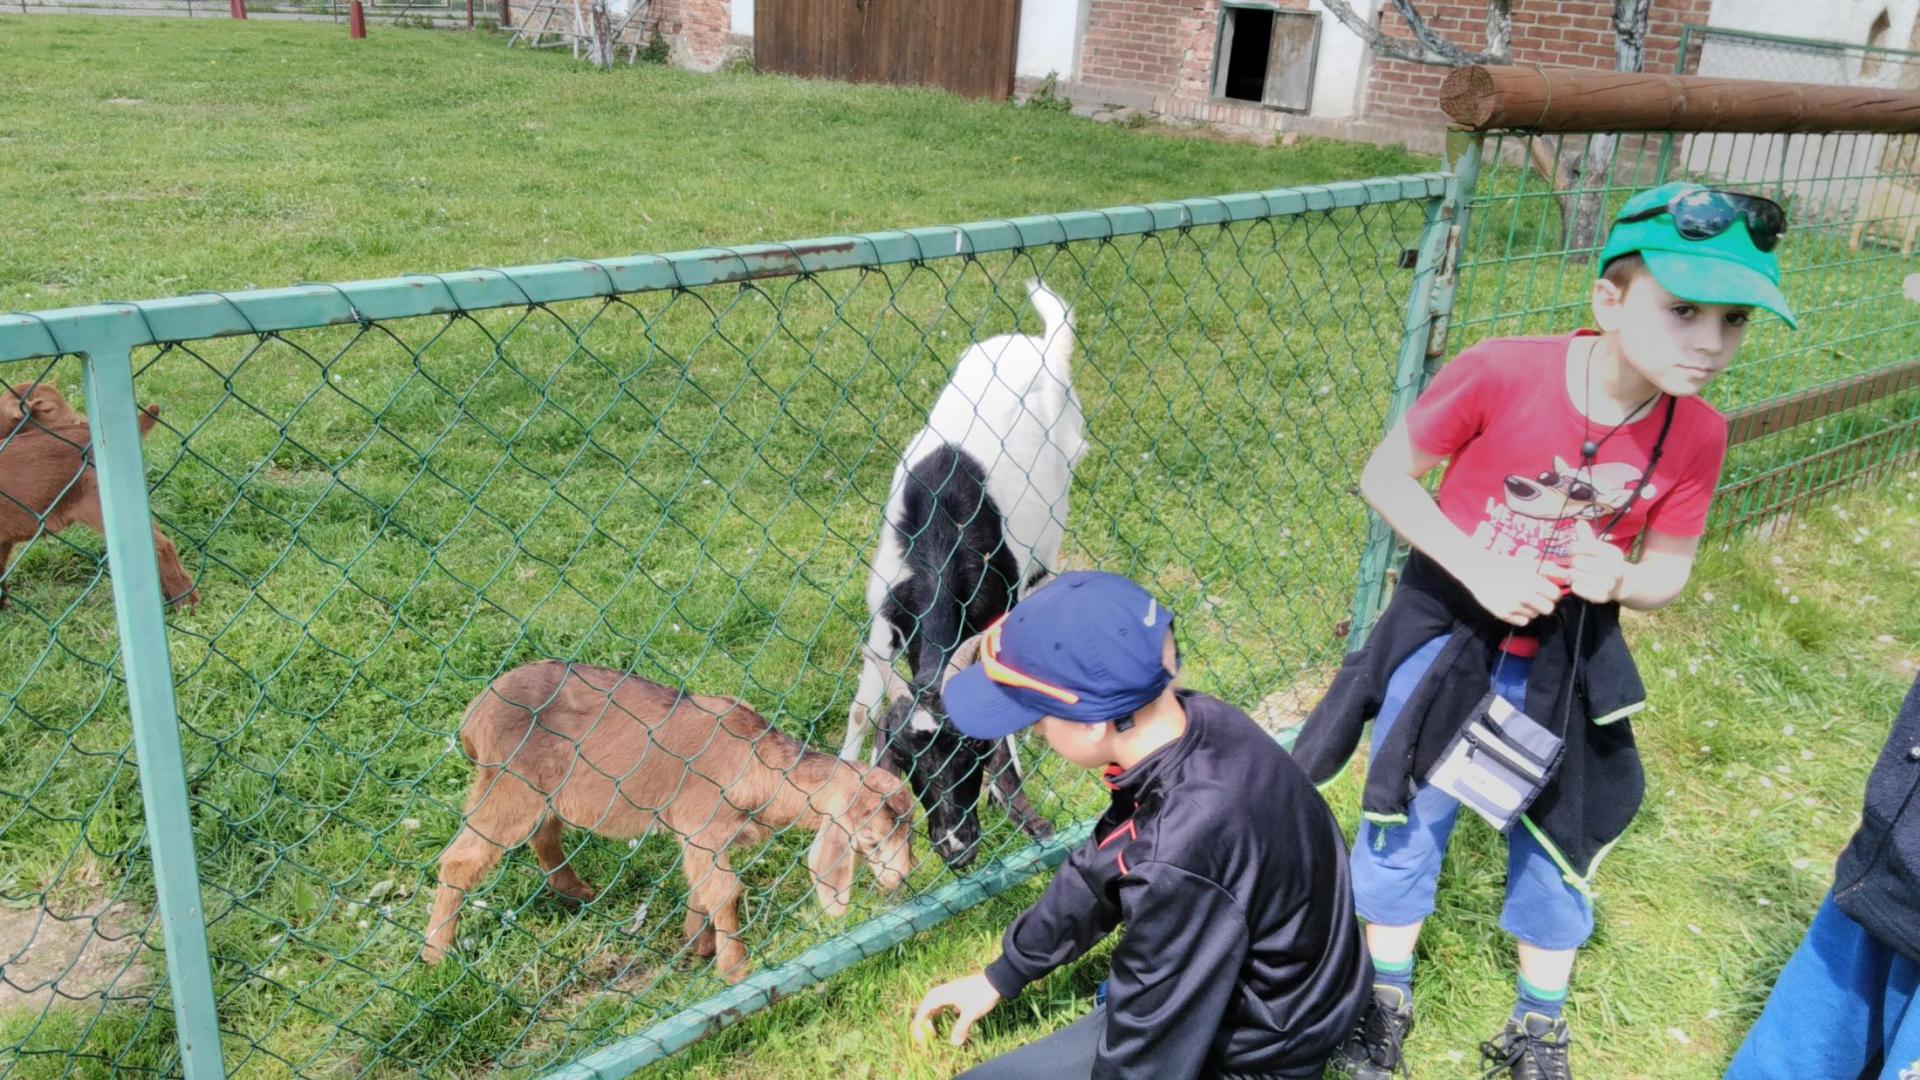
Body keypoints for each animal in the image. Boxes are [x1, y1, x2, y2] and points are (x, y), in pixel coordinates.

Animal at [421, 661, 917, 983]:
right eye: (871, 840)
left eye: (911, 831)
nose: (902, 877)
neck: (755, 764)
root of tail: (473, 717)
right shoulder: (703, 824)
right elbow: (726, 891)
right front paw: (735, 968)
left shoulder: (701, 836)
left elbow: (702, 887)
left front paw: (698, 943)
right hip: (510, 784)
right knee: (462, 859)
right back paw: (434, 954)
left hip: (532, 789)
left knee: (544, 833)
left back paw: (577, 891)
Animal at [839, 279, 1086, 870]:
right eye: (909, 761)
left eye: (973, 751)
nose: (956, 848)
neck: (939, 542)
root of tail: (1040, 343)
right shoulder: (884, 617)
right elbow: (861, 710)